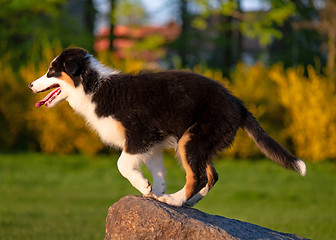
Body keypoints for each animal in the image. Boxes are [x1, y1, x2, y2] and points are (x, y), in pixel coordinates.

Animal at [28, 47, 306, 206]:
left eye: (51, 71)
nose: (30, 85)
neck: (94, 87)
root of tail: (238, 104)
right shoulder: (152, 143)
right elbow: (158, 171)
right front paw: (153, 192)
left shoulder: (139, 135)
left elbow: (122, 164)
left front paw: (144, 186)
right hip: (200, 142)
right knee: (212, 175)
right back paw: (188, 202)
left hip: (192, 139)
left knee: (198, 176)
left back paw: (175, 201)